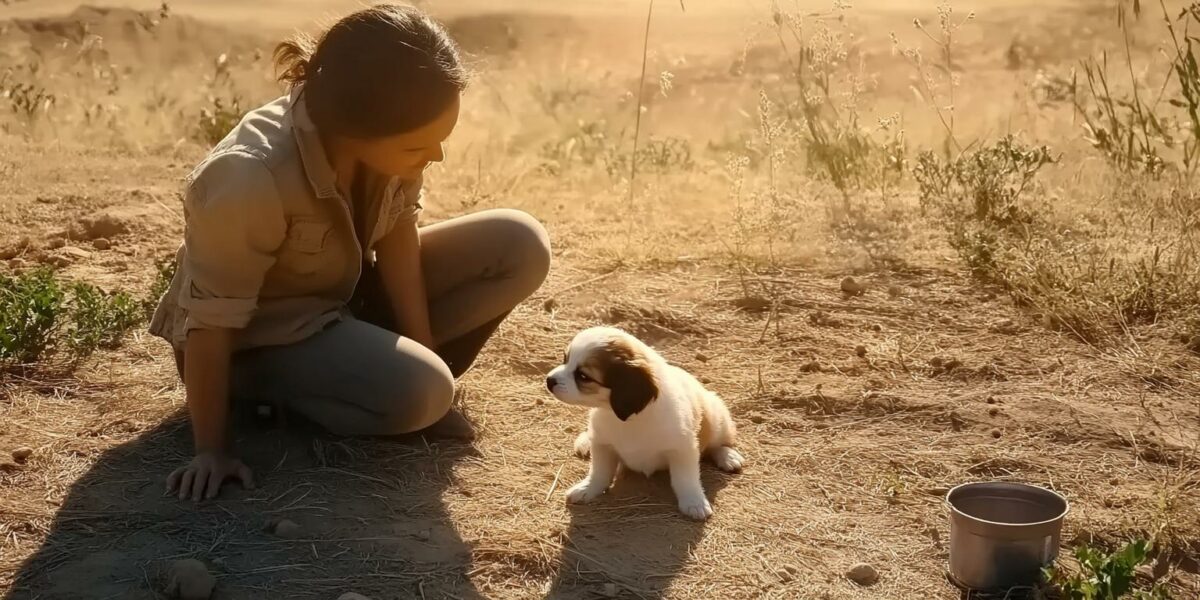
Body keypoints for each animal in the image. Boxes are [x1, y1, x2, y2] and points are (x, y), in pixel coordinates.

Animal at [544, 326, 739, 518]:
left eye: (583, 376)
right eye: (565, 359)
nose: (549, 380)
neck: (629, 419)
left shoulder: (683, 450)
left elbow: (685, 479)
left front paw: (694, 502)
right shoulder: (602, 444)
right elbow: (600, 472)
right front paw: (588, 488)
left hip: (716, 418)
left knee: (718, 443)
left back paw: (728, 456)